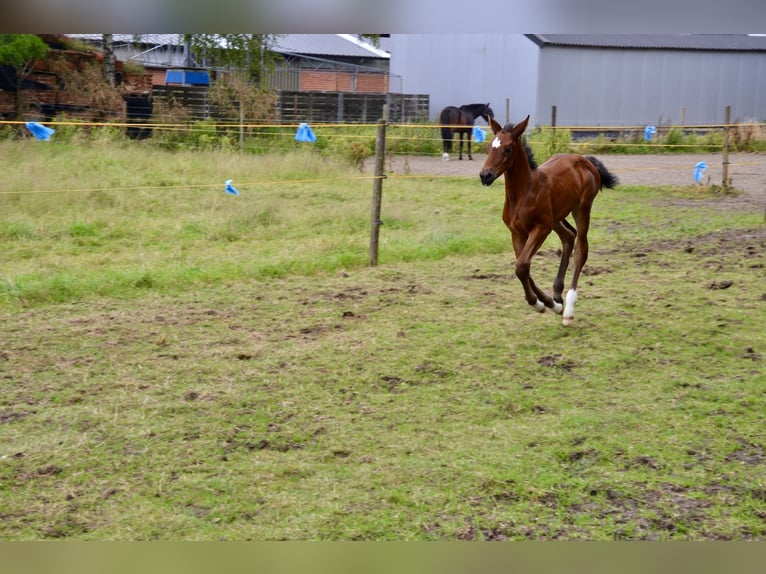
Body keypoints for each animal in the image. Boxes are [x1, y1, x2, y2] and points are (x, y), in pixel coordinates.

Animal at [480, 115, 616, 326]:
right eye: (489, 147)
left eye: (508, 149)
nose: (485, 175)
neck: (523, 193)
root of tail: (585, 159)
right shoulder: (516, 233)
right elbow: (522, 266)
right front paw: (548, 303)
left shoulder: (541, 228)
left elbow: (522, 266)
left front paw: (542, 304)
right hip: (557, 217)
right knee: (569, 236)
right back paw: (558, 296)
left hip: (581, 209)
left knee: (581, 249)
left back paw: (568, 308)